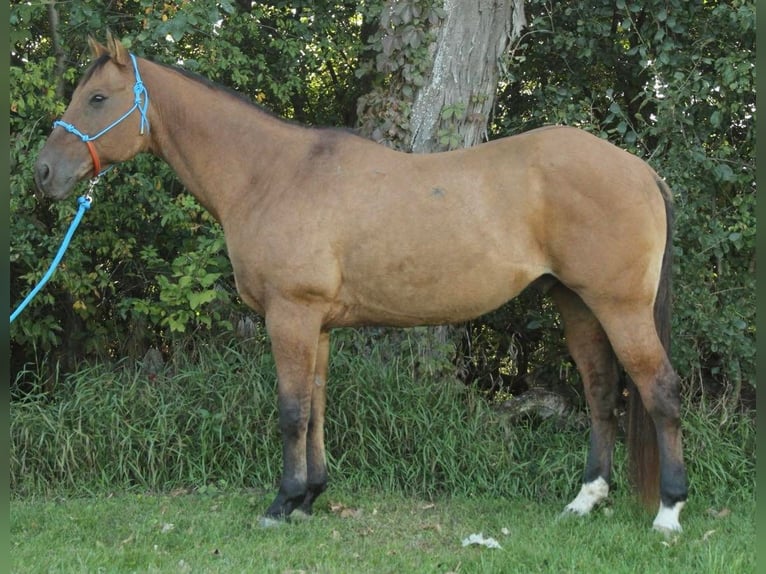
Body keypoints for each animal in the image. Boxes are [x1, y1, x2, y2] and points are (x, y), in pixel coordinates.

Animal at [33, 32, 688, 536]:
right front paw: (309, 497)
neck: (271, 174)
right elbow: (317, 408)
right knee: (601, 391)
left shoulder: (290, 315)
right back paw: (585, 500)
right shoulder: (317, 324)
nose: (43, 173)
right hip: (576, 304)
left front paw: (281, 504)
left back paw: (669, 513)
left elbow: (291, 410)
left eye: (97, 97)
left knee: (659, 390)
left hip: (620, 307)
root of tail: (641, 170)